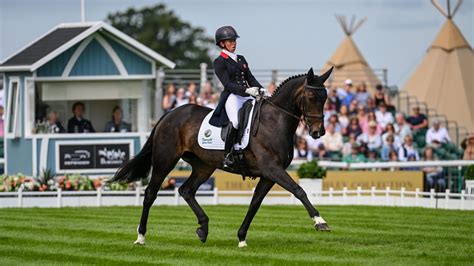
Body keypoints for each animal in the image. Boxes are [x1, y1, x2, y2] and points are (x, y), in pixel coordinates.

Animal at [111, 66, 334, 247]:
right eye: (311, 97)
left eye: (325, 98)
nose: (318, 132)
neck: (274, 121)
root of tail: (169, 114)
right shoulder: (272, 169)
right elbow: (299, 190)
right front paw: (320, 222)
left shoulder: (269, 175)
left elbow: (255, 204)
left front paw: (242, 238)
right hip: (164, 161)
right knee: (150, 194)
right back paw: (141, 237)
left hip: (204, 166)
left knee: (186, 190)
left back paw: (203, 228)